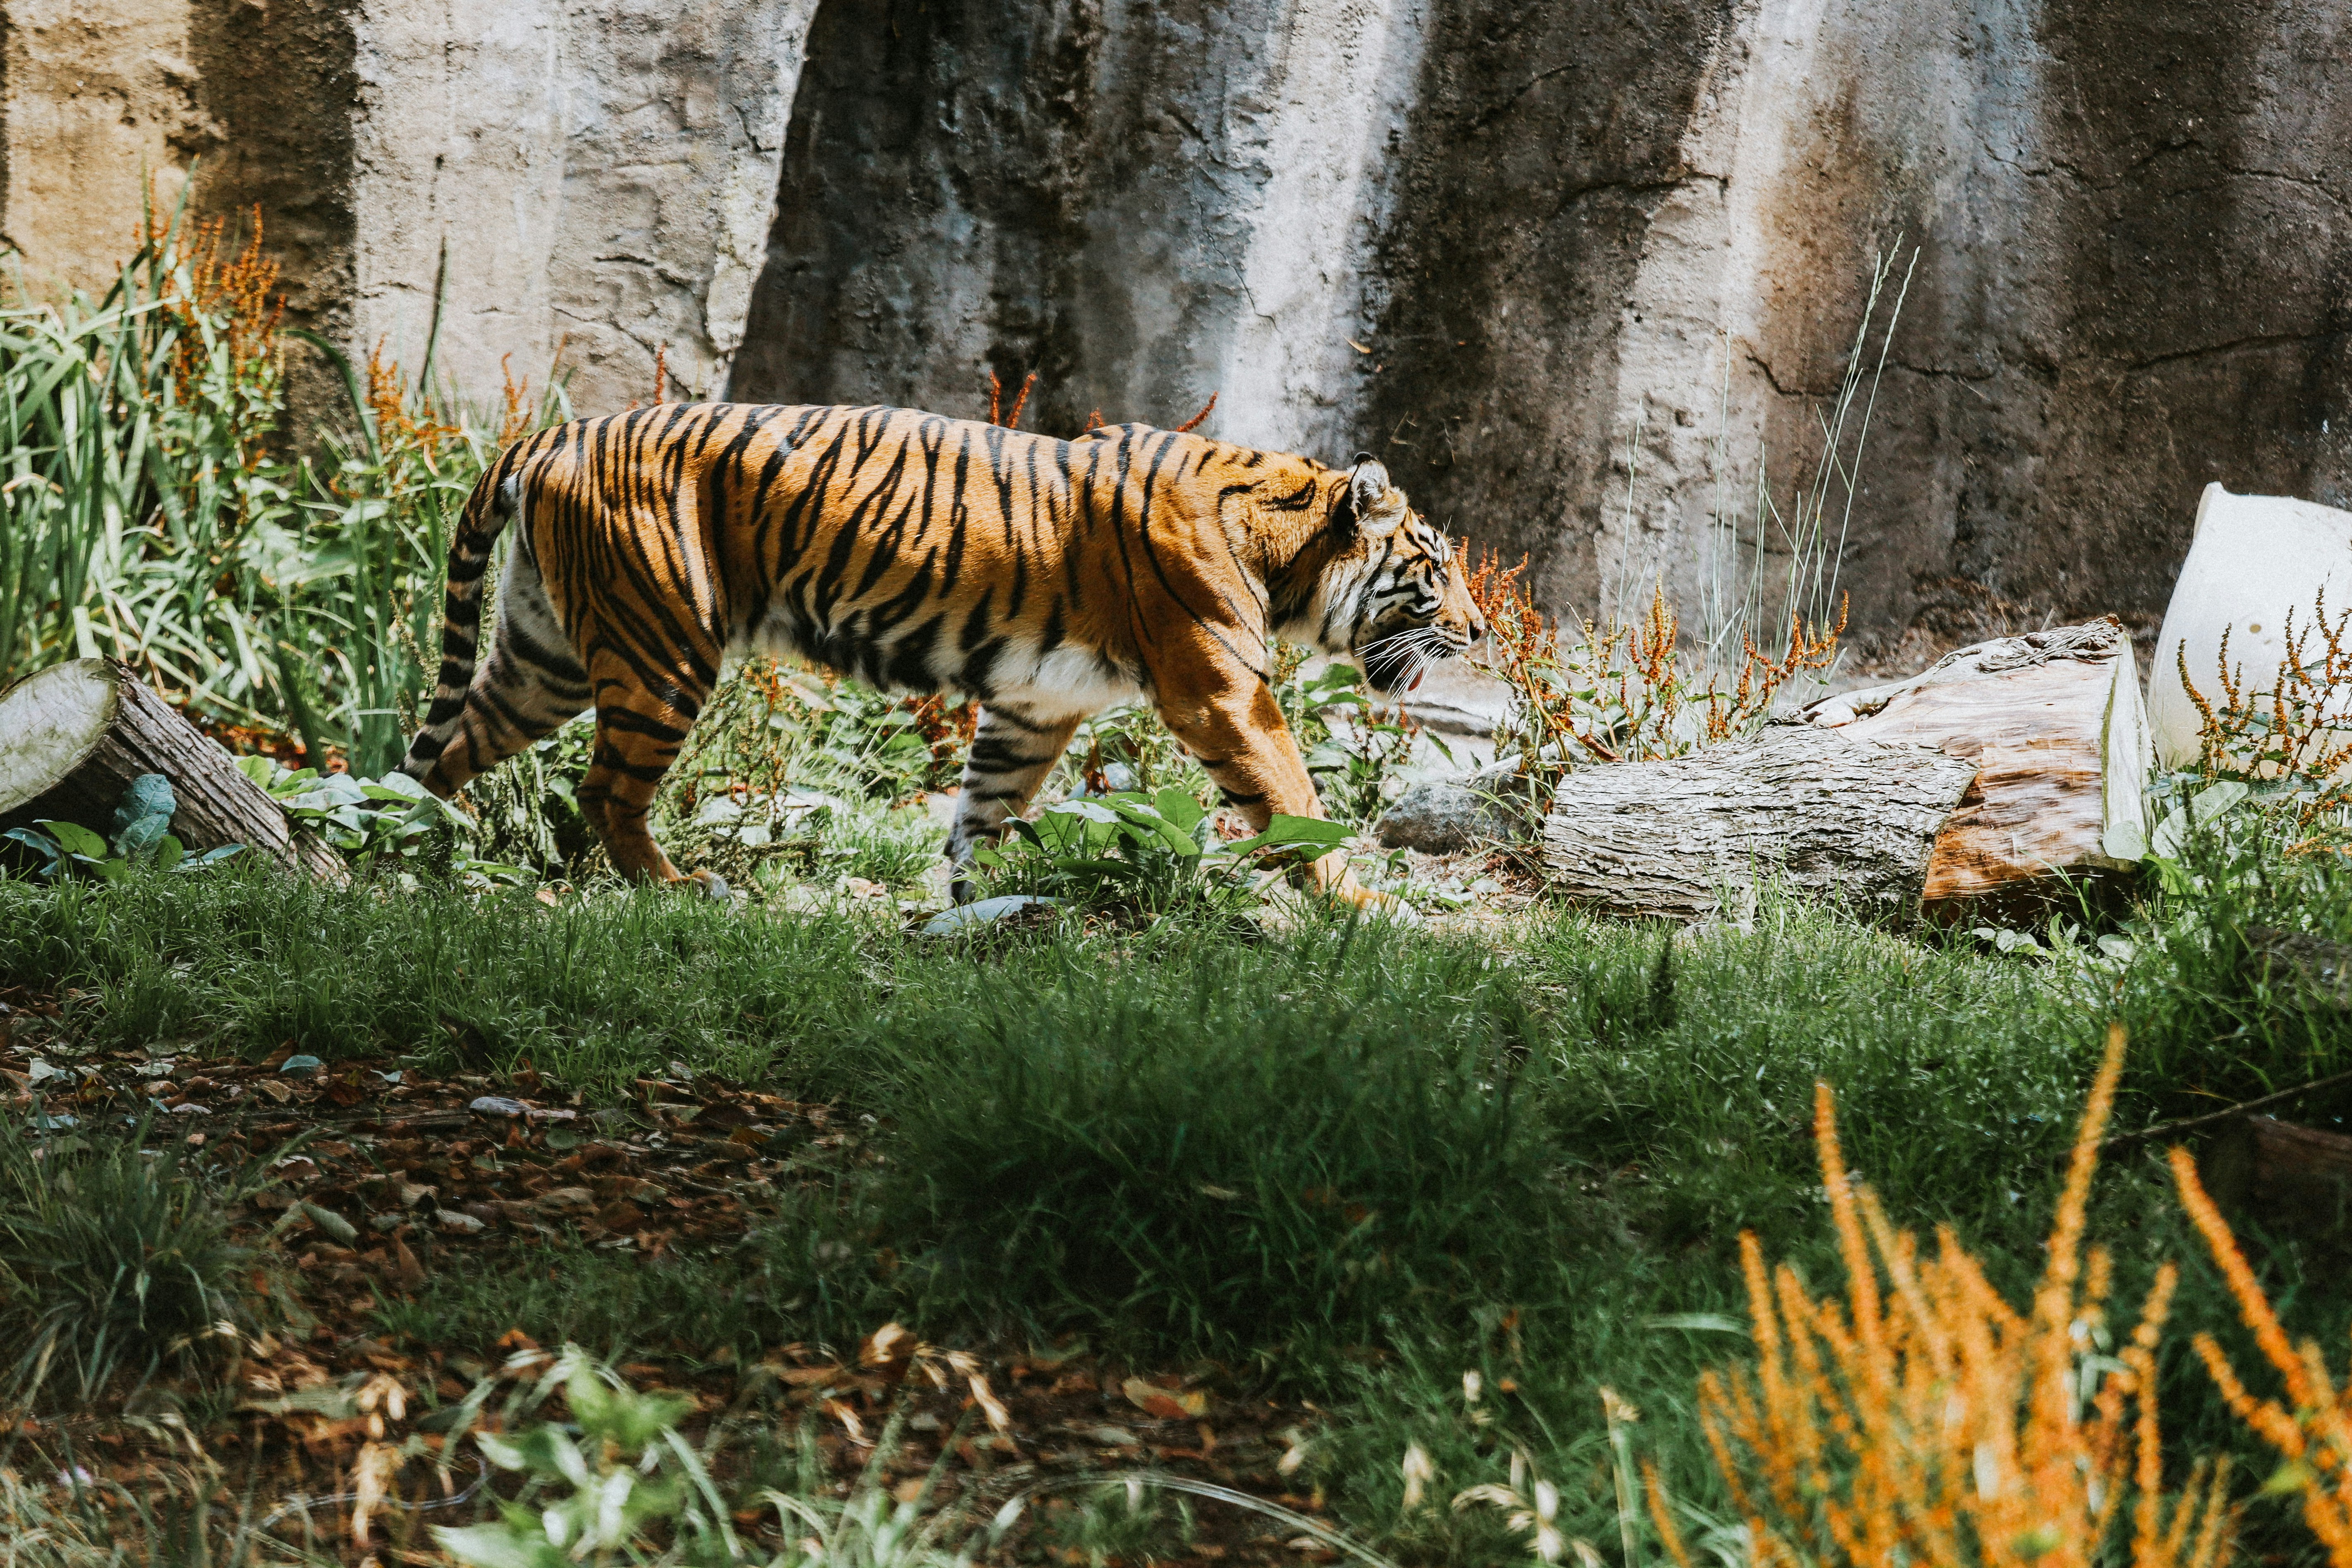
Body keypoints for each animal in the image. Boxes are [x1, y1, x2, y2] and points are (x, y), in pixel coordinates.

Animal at [397, 403, 1486, 910]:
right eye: (1433, 567)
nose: (1481, 633)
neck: (1285, 544)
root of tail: (554, 432)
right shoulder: (1221, 691)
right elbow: (1296, 799)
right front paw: (1363, 908)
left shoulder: (1035, 706)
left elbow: (984, 813)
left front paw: (978, 908)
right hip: (662, 645)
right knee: (604, 790)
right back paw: (673, 888)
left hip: (544, 654)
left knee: (445, 748)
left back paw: (410, 855)